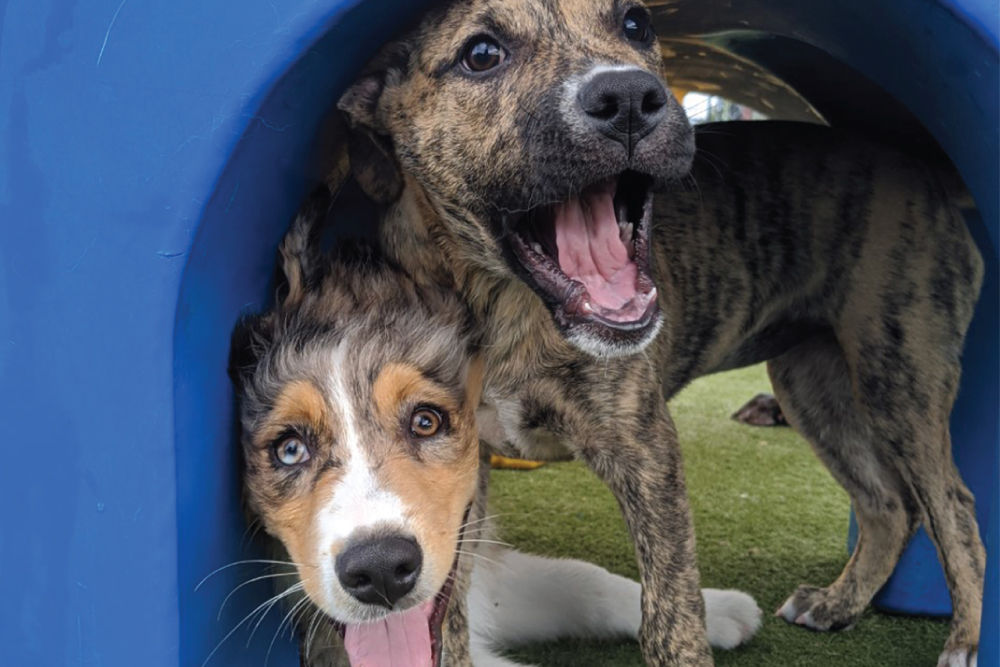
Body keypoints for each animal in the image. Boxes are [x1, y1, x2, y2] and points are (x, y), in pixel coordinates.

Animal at [334, 0, 984, 664]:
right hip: (812, 386)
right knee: (888, 507)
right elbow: (451, 608)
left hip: (898, 373)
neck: (498, 302)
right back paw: (839, 603)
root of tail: (923, 171)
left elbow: (672, 613)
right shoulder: (457, 467)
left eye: (637, 23)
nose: (627, 96)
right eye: (481, 53)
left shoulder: (645, 449)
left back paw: (963, 640)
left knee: (952, 508)